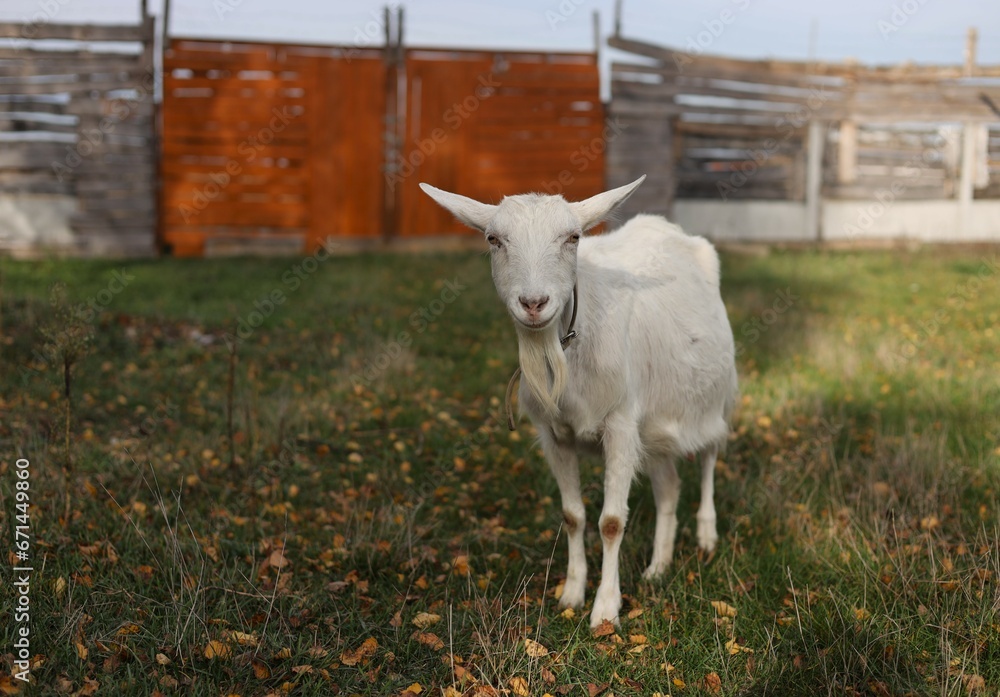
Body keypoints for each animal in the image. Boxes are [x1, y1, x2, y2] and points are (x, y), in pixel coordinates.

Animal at [420, 177, 738, 627]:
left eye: (572, 237)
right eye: (494, 239)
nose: (534, 303)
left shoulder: (620, 424)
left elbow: (611, 522)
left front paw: (605, 610)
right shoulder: (555, 435)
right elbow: (573, 515)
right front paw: (571, 593)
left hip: (716, 397)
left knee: (710, 456)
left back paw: (707, 535)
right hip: (654, 427)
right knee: (669, 486)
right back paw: (658, 568)